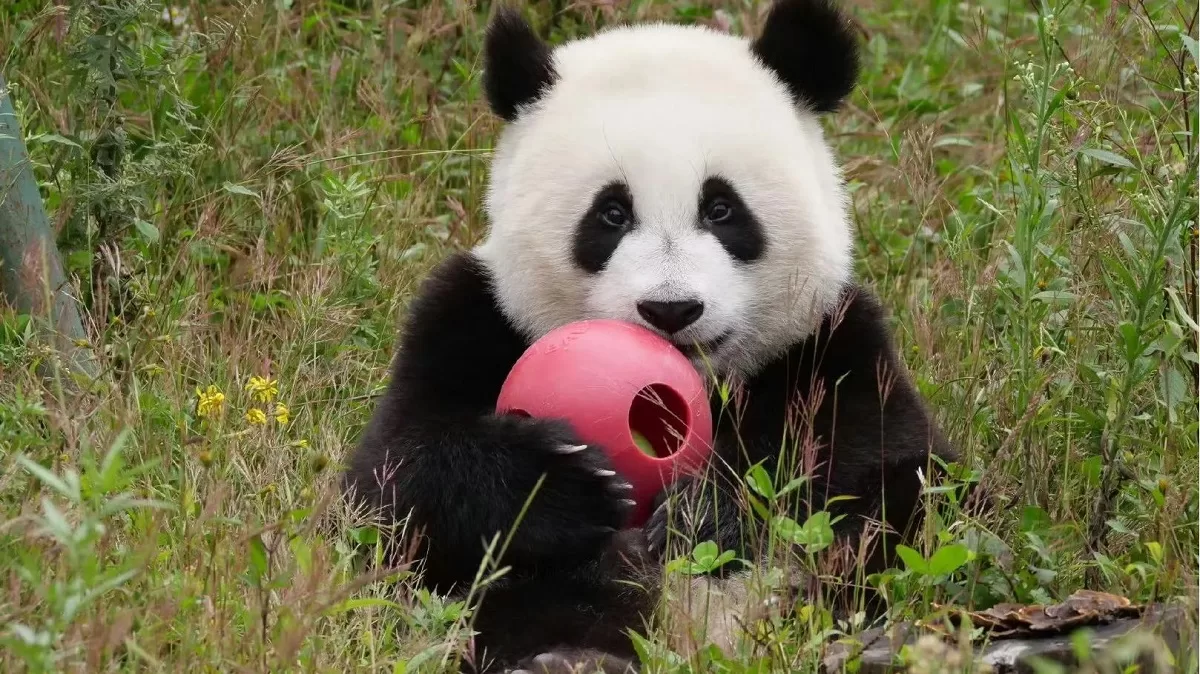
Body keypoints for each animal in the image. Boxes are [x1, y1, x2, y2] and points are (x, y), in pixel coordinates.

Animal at [343, 1, 958, 672]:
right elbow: (391, 484)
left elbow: (860, 451)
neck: (711, 385)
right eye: (611, 214)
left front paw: (705, 511)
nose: (671, 308)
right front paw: (561, 485)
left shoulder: (834, 338)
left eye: (721, 209)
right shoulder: (473, 318)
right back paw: (570, 653)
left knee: (910, 522)